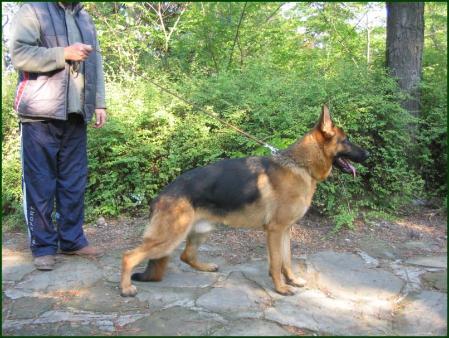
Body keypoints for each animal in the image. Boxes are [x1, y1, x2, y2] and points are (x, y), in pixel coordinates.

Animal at [120, 105, 368, 296]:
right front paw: (280, 288)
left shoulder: (286, 230)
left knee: (186, 255)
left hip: (200, 230)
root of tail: (161, 195)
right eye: (346, 140)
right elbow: (276, 263)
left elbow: (287, 259)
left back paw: (206, 267)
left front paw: (292, 280)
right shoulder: (275, 231)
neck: (300, 165)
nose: (368, 155)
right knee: (129, 256)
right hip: (170, 236)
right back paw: (126, 288)